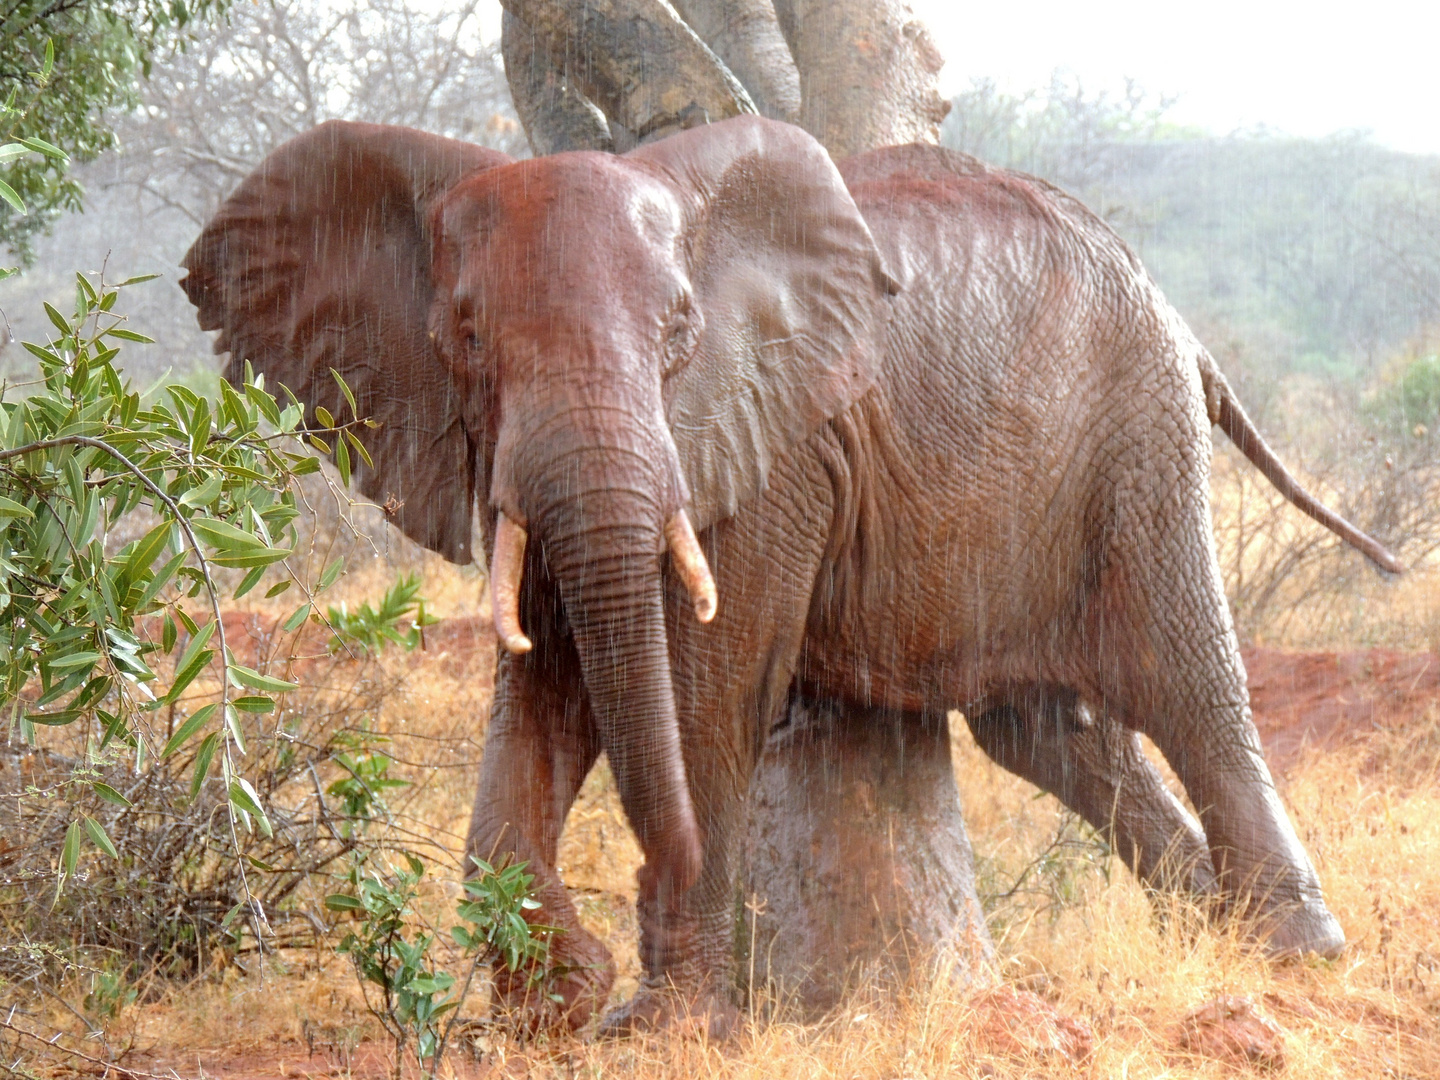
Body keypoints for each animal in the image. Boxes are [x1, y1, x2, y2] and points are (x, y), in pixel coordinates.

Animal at [180, 116, 1393, 1042]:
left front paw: (660, 1026)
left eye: (679, 330)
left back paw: (1291, 954)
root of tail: (1183, 324)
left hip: (1140, 438)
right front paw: (552, 1009)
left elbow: (702, 693)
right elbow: (546, 688)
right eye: (467, 338)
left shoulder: (776, 443)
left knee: (1184, 686)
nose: (607, 967)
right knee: (1053, 734)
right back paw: (1209, 931)